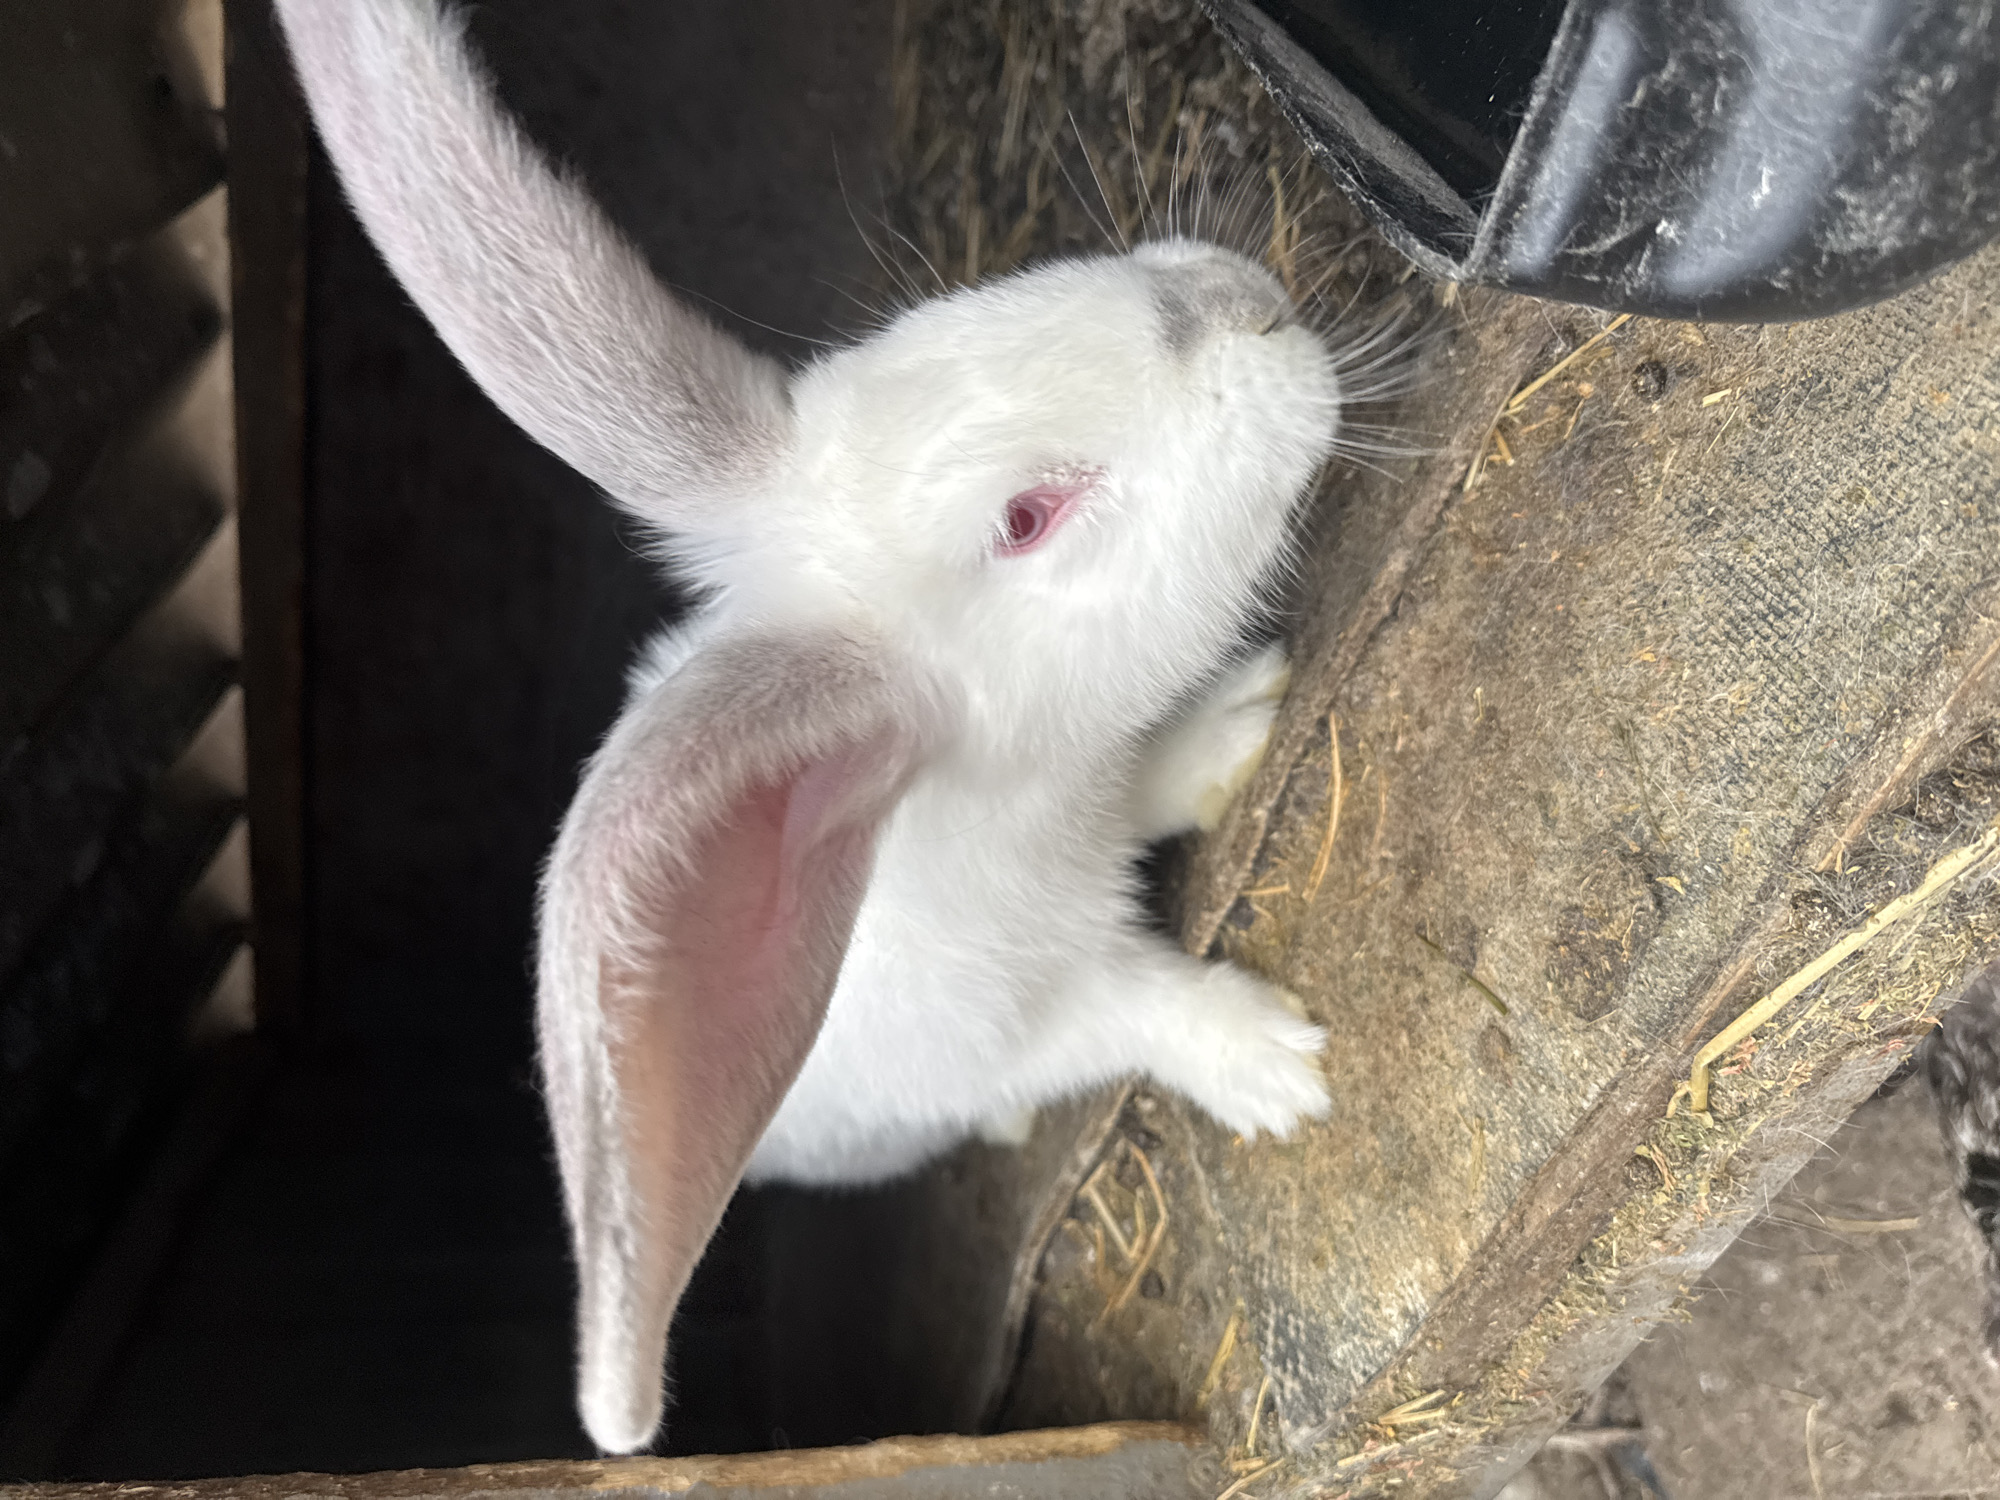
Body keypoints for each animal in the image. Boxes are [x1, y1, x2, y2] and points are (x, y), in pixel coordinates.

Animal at [276, 0, 1344, 1455]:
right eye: (1027, 520)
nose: (1246, 303)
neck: (1018, 797)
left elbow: (1161, 778)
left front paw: (1240, 721)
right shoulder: (1020, 1018)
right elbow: (1140, 1011)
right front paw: (1284, 1074)